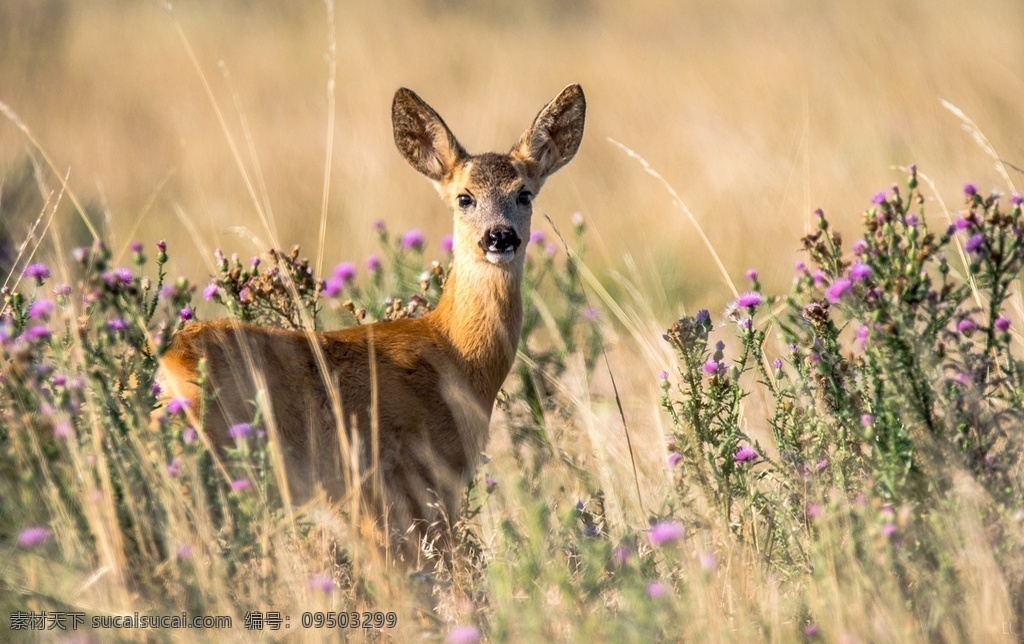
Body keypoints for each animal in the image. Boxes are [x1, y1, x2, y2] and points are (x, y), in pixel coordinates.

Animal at [158, 84, 586, 555]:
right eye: (465, 197)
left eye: (524, 194)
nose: (500, 237)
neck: (456, 356)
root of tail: (168, 362)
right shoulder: (414, 481)